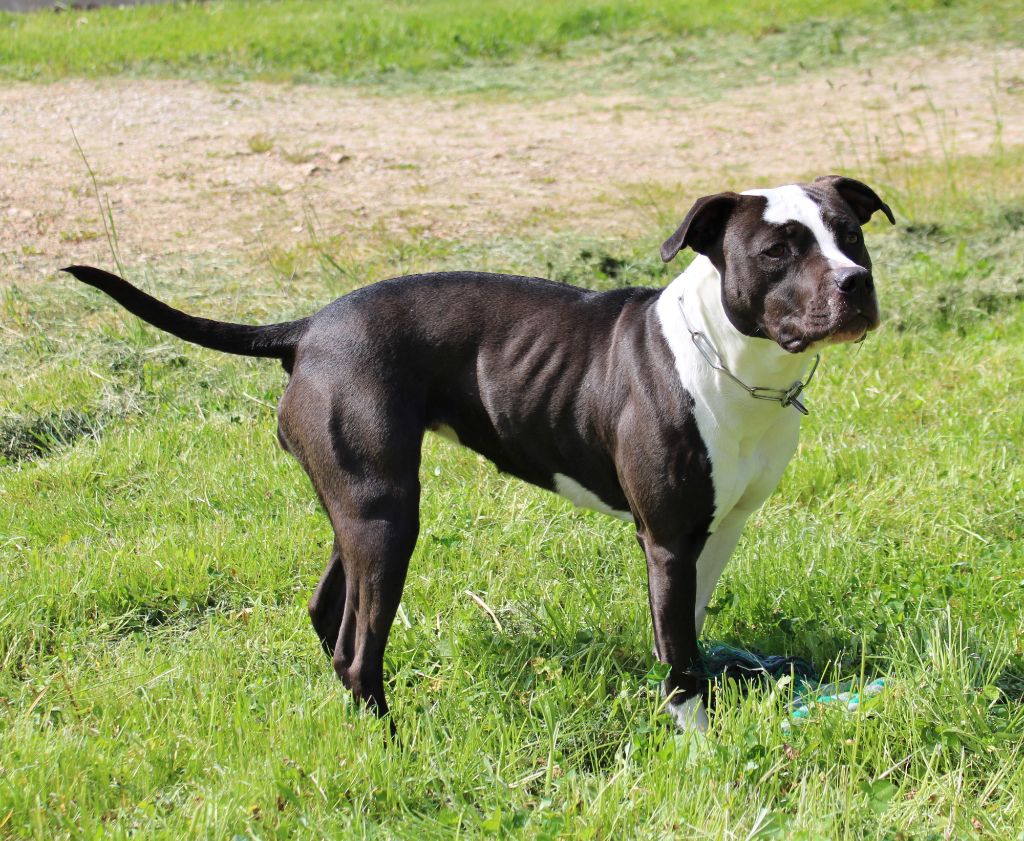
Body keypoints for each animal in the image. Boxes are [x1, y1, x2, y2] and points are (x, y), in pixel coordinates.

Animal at [63, 174, 892, 732]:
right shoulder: (665, 539)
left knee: (331, 612)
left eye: (850, 234)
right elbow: (679, 655)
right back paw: (389, 745)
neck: (733, 359)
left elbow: (686, 626)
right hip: (387, 516)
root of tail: (309, 328)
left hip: (358, 505)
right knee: (360, 646)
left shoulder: (718, 530)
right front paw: (697, 741)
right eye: (776, 251)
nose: (855, 283)